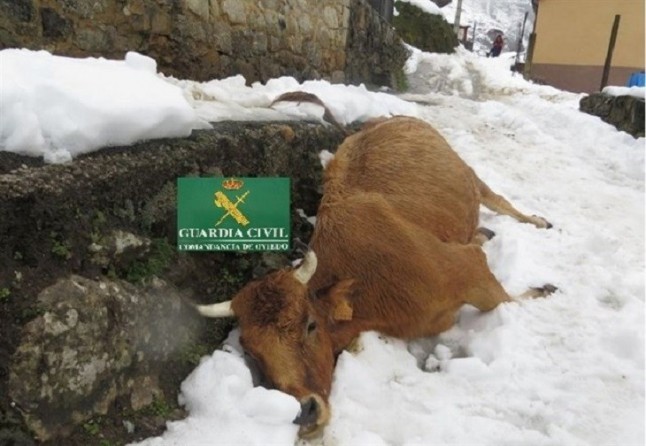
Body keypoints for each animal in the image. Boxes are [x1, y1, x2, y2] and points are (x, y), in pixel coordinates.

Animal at [196, 115, 555, 438]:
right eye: (251, 351)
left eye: (310, 325)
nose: (305, 412)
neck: (367, 289)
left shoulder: (468, 266)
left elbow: (505, 300)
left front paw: (542, 290)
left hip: (470, 175)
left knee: (499, 200)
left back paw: (537, 222)